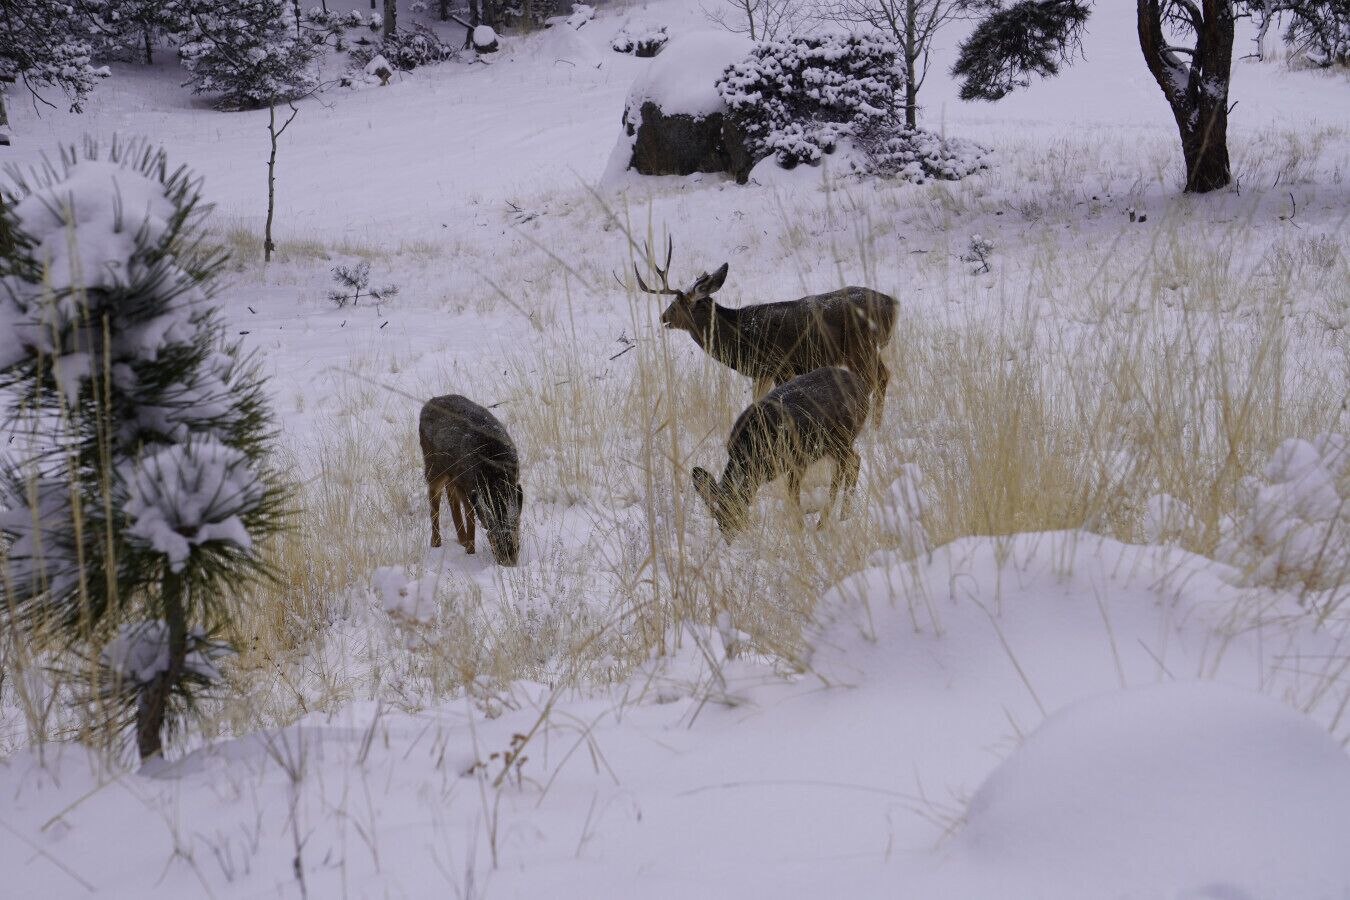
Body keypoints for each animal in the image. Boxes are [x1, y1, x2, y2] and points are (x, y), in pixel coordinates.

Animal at [419, 394, 523, 566]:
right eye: (492, 541)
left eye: (517, 541)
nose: (508, 563)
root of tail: (429, 402)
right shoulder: (468, 485)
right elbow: (471, 517)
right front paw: (470, 552)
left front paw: (467, 546)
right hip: (433, 464)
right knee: (434, 498)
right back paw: (436, 542)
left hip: (452, 474)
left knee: (450, 496)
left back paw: (461, 539)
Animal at [634, 238, 897, 423]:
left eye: (676, 304)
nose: (663, 317)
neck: (739, 334)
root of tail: (892, 304)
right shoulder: (763, 371)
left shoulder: (778, 364)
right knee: (883, 376)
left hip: (859, 347)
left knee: (877, 379)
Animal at [692, 366, 870, 540]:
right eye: (715, 515)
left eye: (734, 510)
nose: (729, 537)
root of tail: (863, 388)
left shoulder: (797, 461)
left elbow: (793, 497)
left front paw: (799, 530)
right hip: (835, 445)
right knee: (856, 460)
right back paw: (844, 515)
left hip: (841, 439)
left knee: (841, 473)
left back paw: (823, 523)